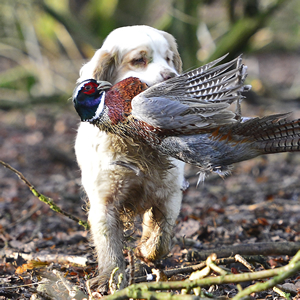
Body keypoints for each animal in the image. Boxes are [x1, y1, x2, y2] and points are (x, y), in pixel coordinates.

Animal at [75, 25, 185, 288]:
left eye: (169, 58)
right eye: (138, 60)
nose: (171, 76)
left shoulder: (169, 194)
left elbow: (160, 236)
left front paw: (145, 251)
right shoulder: (104, 203)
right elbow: (109, 246)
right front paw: (109, 277)